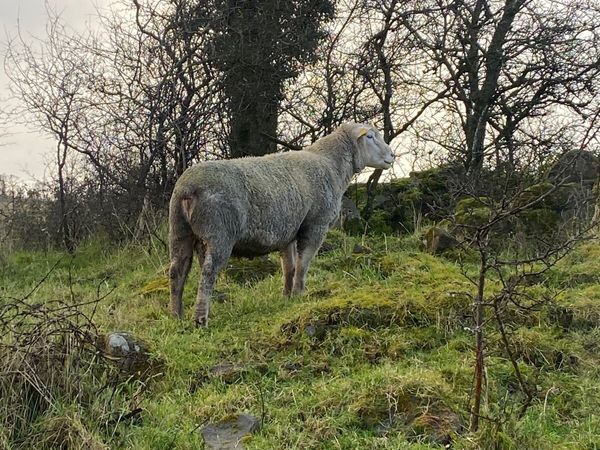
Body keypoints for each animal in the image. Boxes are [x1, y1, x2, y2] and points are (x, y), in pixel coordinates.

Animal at [168, 123, 394, 326]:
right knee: (208, 272)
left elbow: (289, 267)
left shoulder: (289, 231)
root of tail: (187, 189)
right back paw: (200, 319)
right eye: (370, 136)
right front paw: (299, 294)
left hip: (180, 231)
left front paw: (287, 297)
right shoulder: (315, 225)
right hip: (219, 233)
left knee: (177, 271)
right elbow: (303, 264)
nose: (392, 156)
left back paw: (177, 316)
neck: (332, 165)